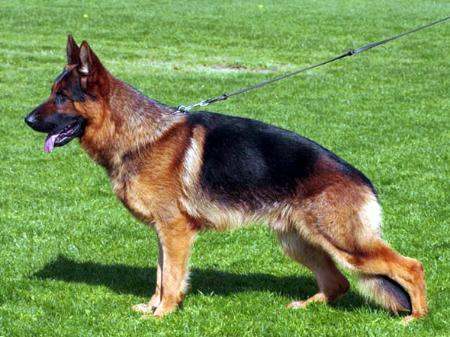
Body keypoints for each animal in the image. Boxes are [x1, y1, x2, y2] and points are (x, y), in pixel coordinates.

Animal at [26, 35, 428, 322]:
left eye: (61, 97)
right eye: (51, 92)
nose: (26, 119)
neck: (137, 135)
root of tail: (363, 181)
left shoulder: (175, 231)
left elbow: (171, 278)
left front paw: (163, 314)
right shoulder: (162, 232)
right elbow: (159, 274)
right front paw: (152, 307)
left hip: (346, 245)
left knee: (411, 266)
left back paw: (417, 318)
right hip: (298, 242)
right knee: (339, 282)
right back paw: (306, 306)